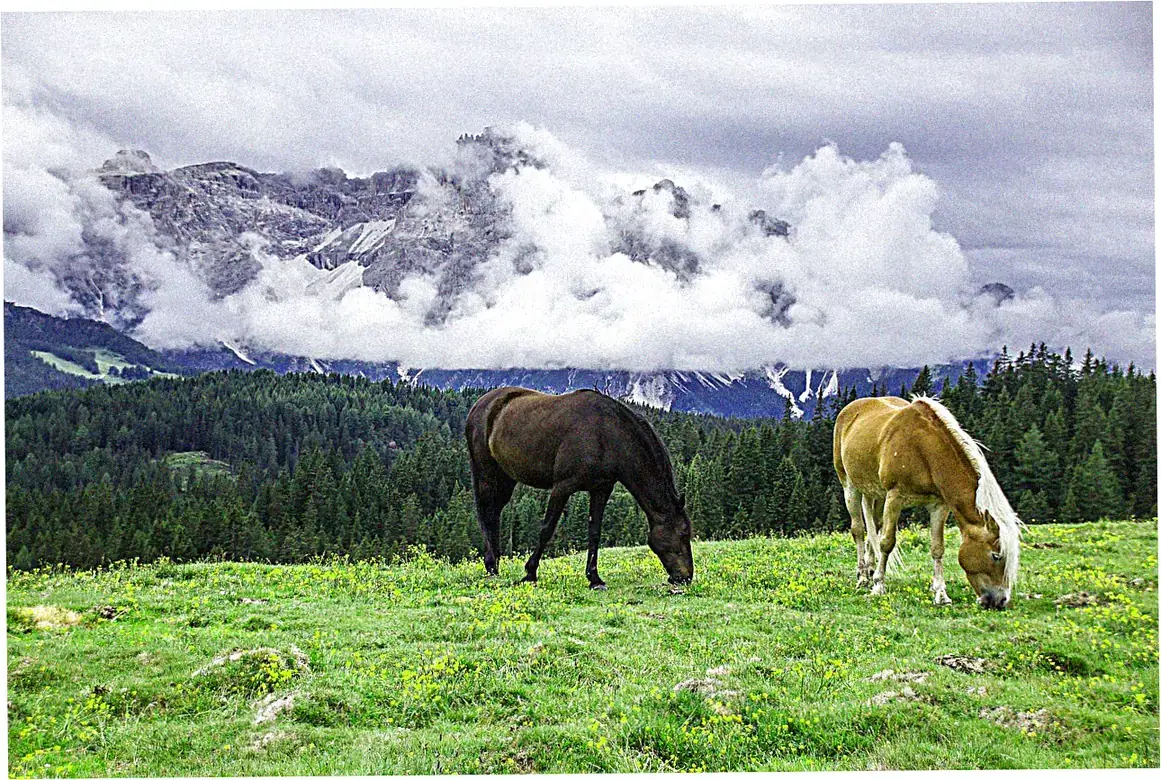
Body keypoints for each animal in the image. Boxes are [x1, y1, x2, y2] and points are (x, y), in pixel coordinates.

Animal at [465, 386, 694, 589]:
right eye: (683, 533)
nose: (685, 577)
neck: (607, 434)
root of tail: (480, 405)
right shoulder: (562, 487)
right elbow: (547, 528)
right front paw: (530, 573)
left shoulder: (601, 489)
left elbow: (594, 532)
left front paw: (594, 578)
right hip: (486, 473)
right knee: (485, 514)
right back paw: (491, 567)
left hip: (506, 478)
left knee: (494, 513)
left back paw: (496, 565)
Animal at [833, 395, 1022, 609]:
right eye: (996, 555)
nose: (1000, 601)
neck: (922, 450)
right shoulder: (895, 497)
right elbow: (887, 542)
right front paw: (878, 586)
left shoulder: (938, 506)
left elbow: (937, 548)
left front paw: (941, 594)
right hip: (850, 486)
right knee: (858, 530)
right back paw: (863, 577)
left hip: (876, 494)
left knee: (875, 526)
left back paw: (871, 569)